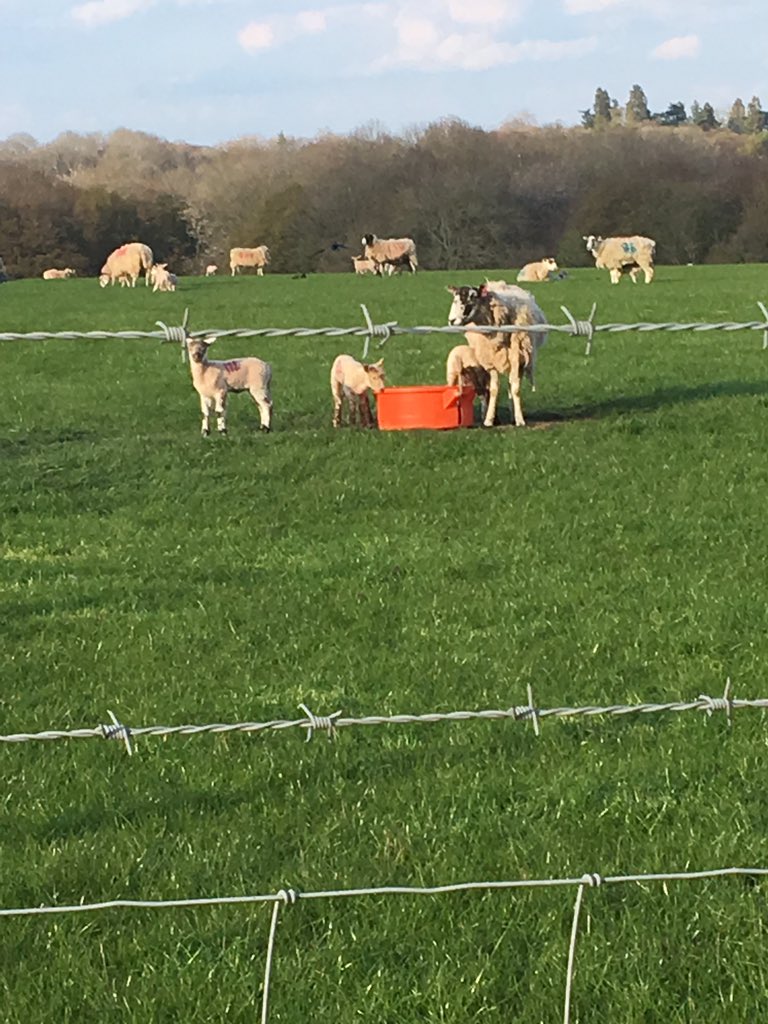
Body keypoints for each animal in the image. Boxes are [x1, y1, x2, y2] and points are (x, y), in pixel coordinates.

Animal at [446, 280, 548, 427]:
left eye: (472, 297)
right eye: (455, 298)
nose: (452, 321)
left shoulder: (516, 357)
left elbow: (515, 388)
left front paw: (519, 419)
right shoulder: (491, 359)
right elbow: (494, 389)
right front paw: (489, 419)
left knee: (512, 385)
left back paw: (514, 416)